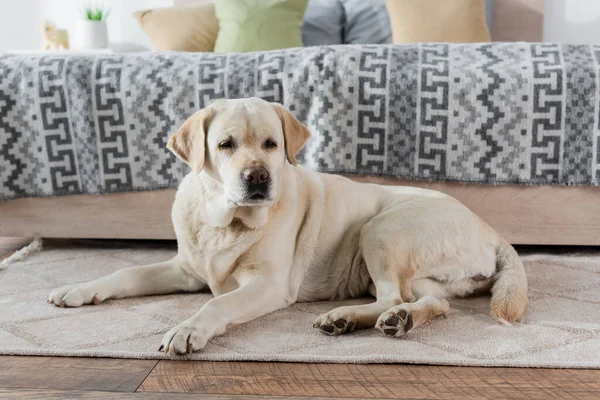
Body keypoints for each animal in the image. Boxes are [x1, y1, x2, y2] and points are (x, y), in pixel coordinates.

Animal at [49, 98, 528, 354]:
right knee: (432, 302)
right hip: (423, 273)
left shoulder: (268, 285)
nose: (258, 177)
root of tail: (492, 231)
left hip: (380, 229)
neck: (225, 222)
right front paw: (78, 289)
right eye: (225, 145)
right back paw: (396, 320)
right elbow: (125, 271)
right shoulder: (186, 269)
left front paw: (188, 329)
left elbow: (217, 304)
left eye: (271, 144)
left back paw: (347, 318)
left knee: (392, 294)